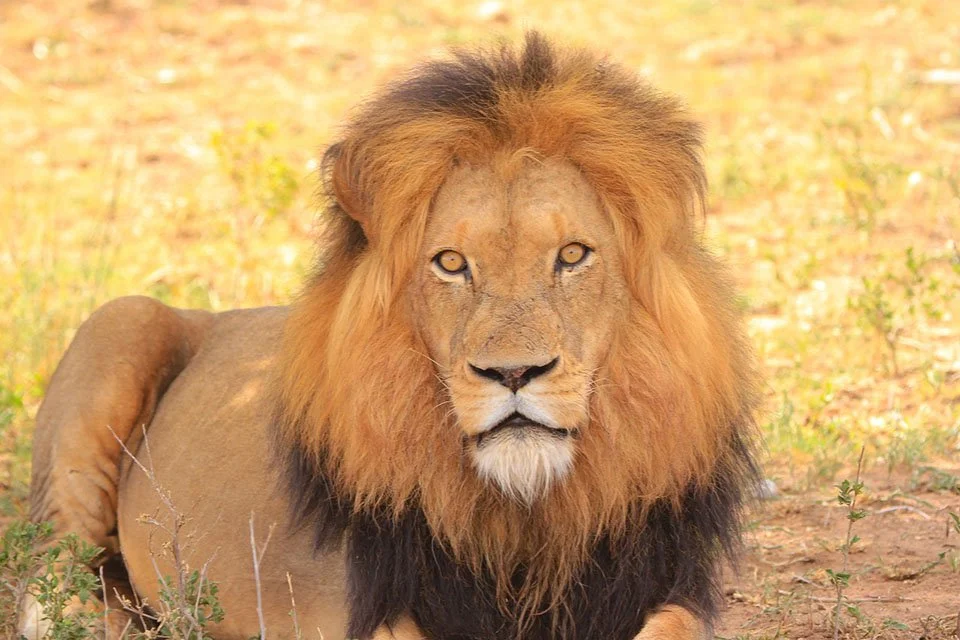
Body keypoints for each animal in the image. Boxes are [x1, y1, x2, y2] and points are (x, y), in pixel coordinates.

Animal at [24, 33, 759, 640]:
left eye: (573, 256)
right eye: (451, 263)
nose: (513, 374)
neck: (524, 518)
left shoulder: (665, 584)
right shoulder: (350, 605)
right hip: (118, 324)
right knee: (55, 587)